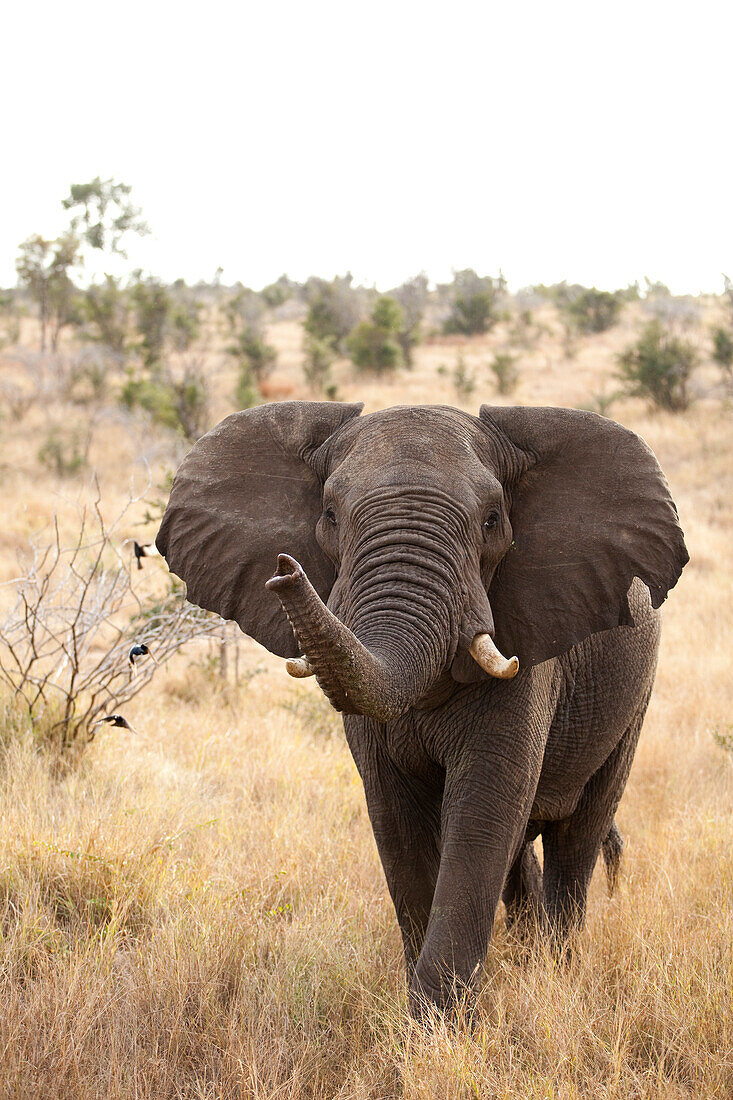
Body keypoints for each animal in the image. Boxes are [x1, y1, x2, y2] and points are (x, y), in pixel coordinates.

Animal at [154, 400, 686, 1016]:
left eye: (492, 520)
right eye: (330, 515)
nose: (286, 570)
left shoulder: (528, 648)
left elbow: (483, 812)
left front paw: (442, 1025)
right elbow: (397, 823)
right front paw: (423, 1021)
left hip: (634, 694)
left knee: (580, 833)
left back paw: (556, 969)